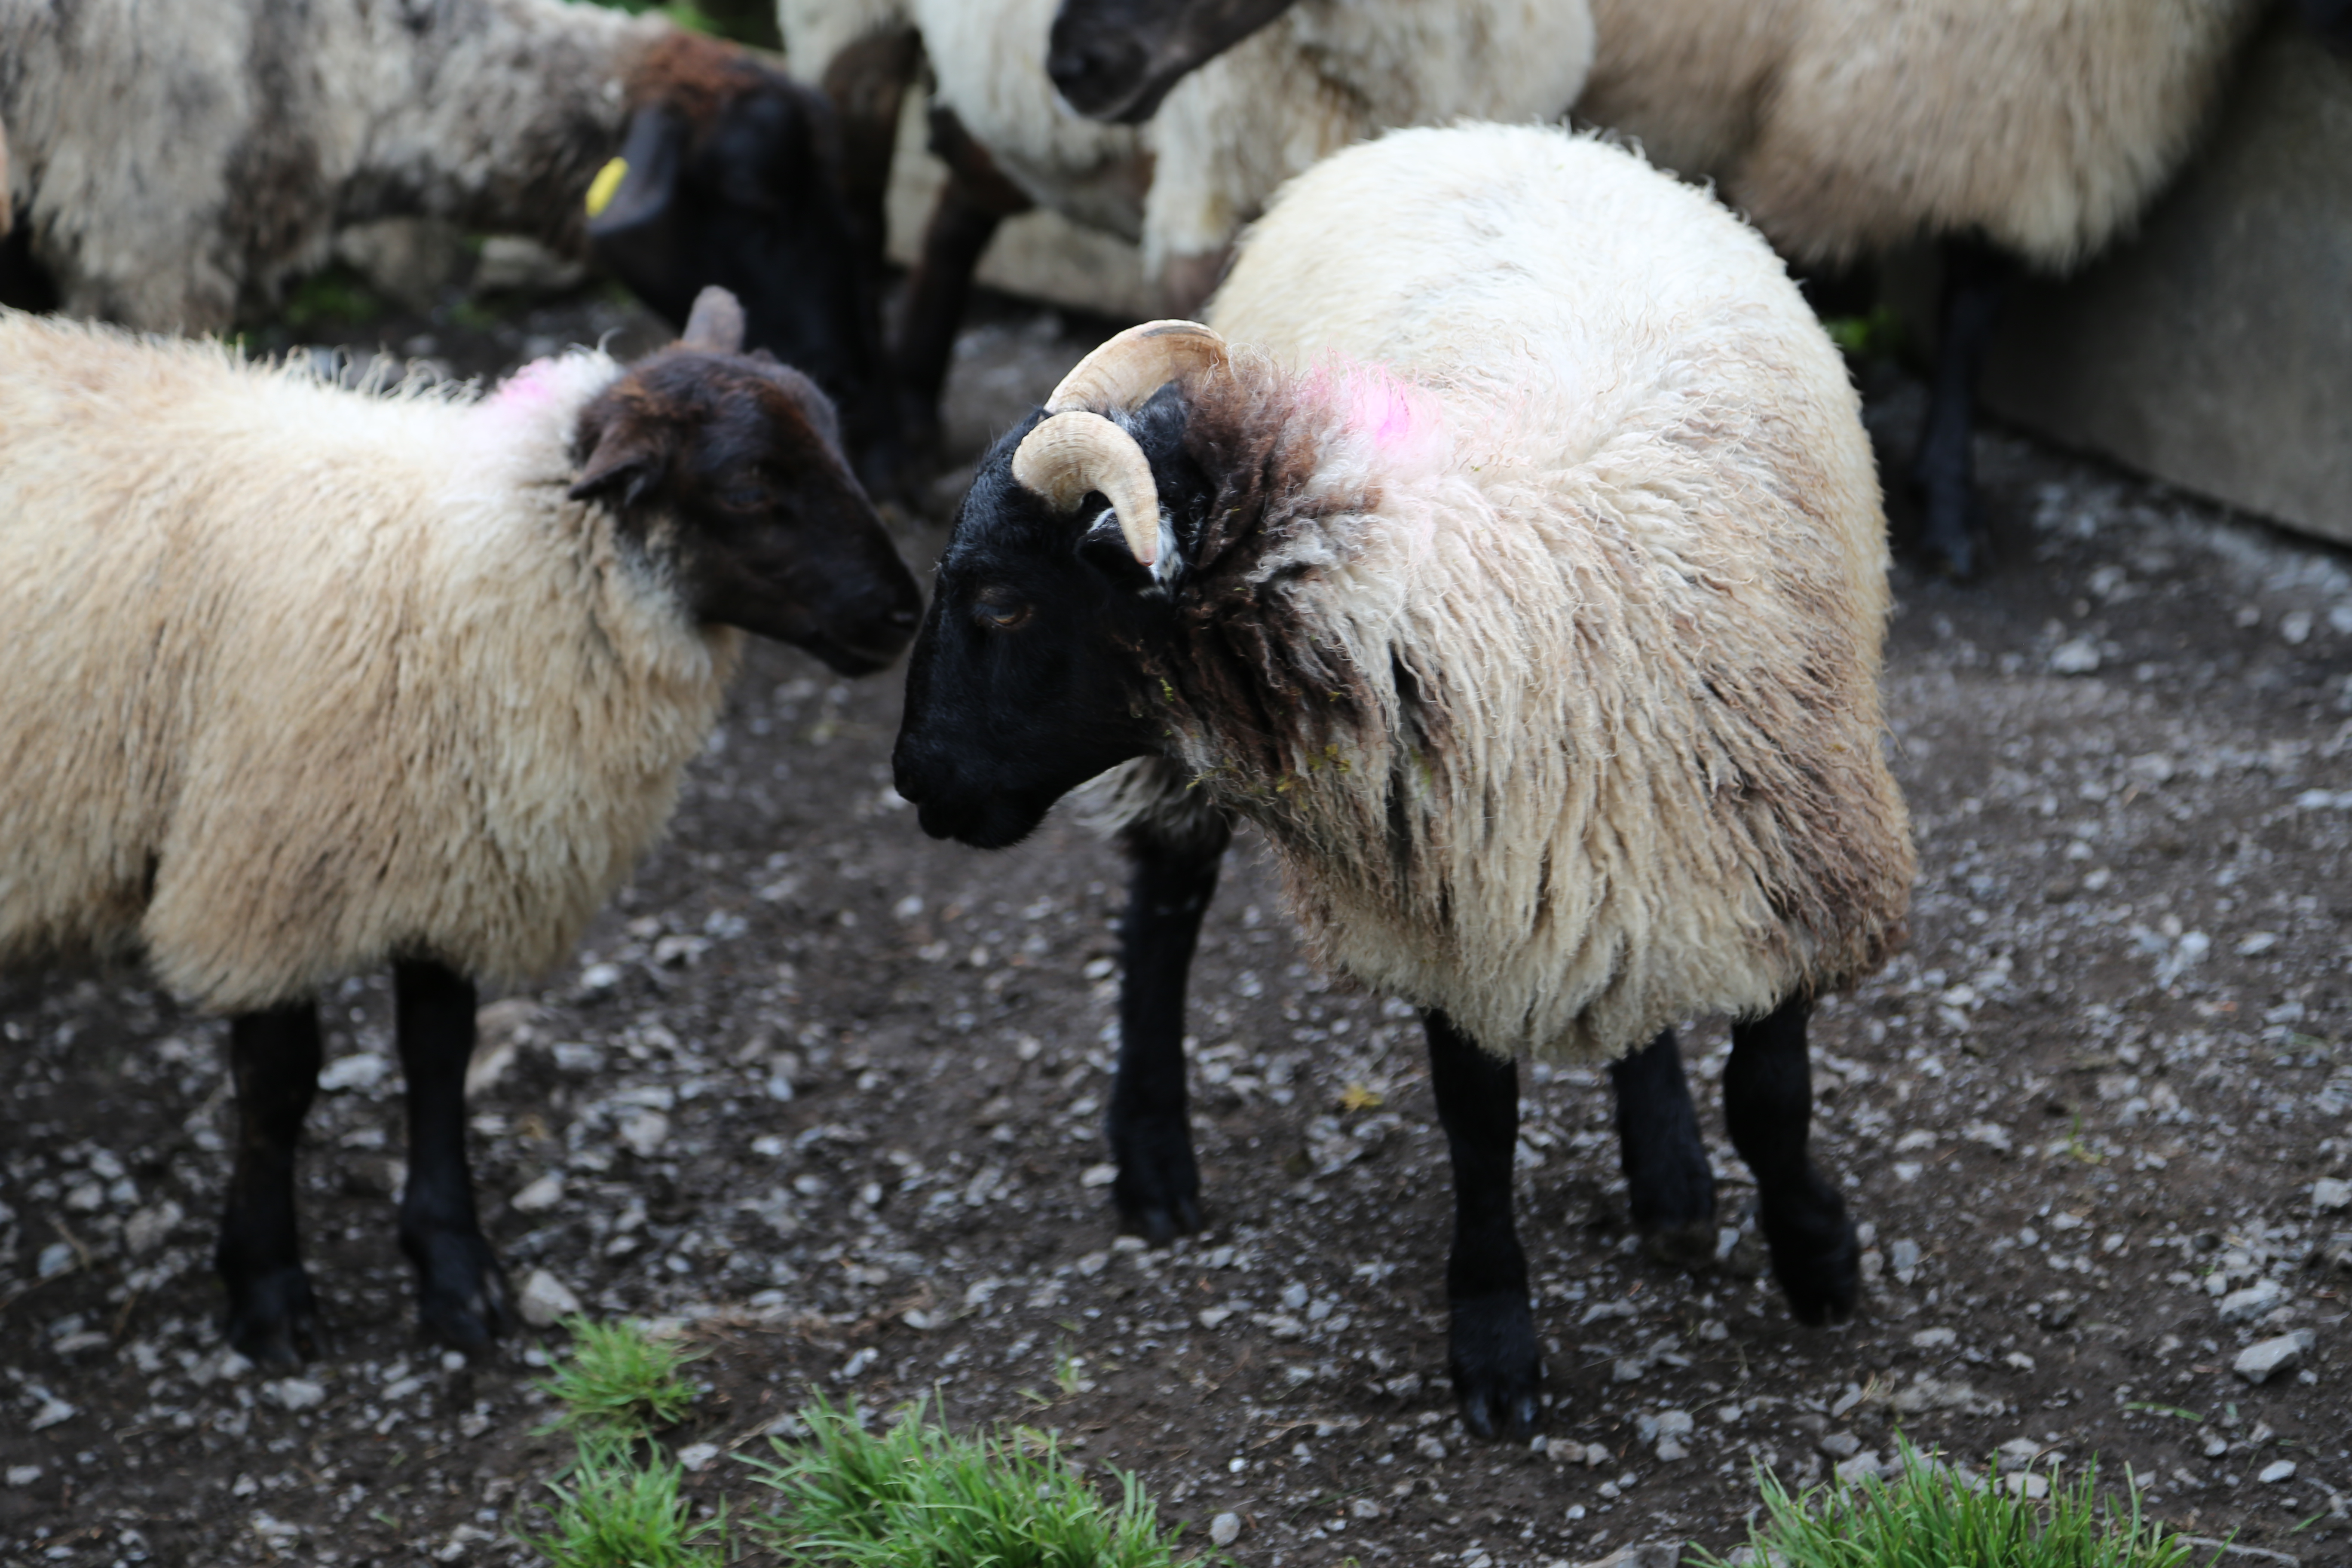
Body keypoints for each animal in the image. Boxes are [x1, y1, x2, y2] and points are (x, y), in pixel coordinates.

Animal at [0, 288, 917, 1363]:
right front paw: (267, 1284)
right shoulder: (261, 869)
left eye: (837, 440)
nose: (905, 615)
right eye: (744, 488)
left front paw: (452, 1268)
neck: (449, 583)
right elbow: (278, 1088)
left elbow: (440, 1058)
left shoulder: (451, 854)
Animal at [889, 129, 1919, 1439]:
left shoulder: (1775, 845)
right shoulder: (1449, 899)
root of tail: (1446, 133)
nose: (914, 778)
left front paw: (1818, 1254)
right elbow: (1477, 1131)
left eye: (1001, 603)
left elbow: (1771, 1096)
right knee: (1164, 909)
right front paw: (1492, 1341)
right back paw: (1154, 1157)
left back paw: (1670, 1181)